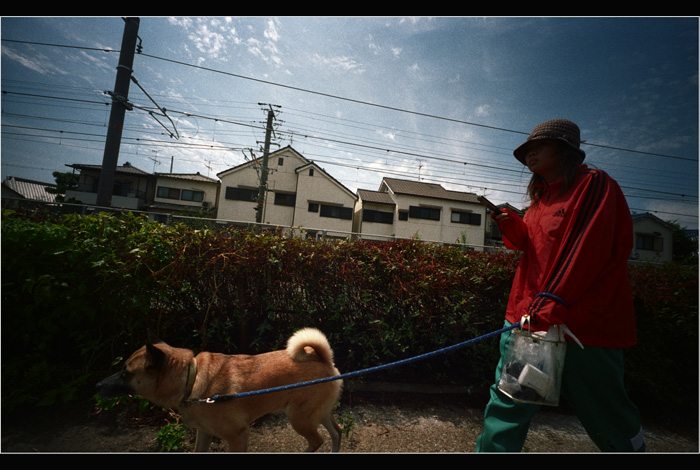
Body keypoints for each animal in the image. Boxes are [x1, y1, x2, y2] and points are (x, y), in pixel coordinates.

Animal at [95, 326, 342, 452]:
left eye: (125, 372)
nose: (97, 385)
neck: (191, 379)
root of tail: (323, 359)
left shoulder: (238, 436)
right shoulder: (204, 433)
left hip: (299, 418)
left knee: (317, 441)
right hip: (316, 414)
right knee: (336, 432)